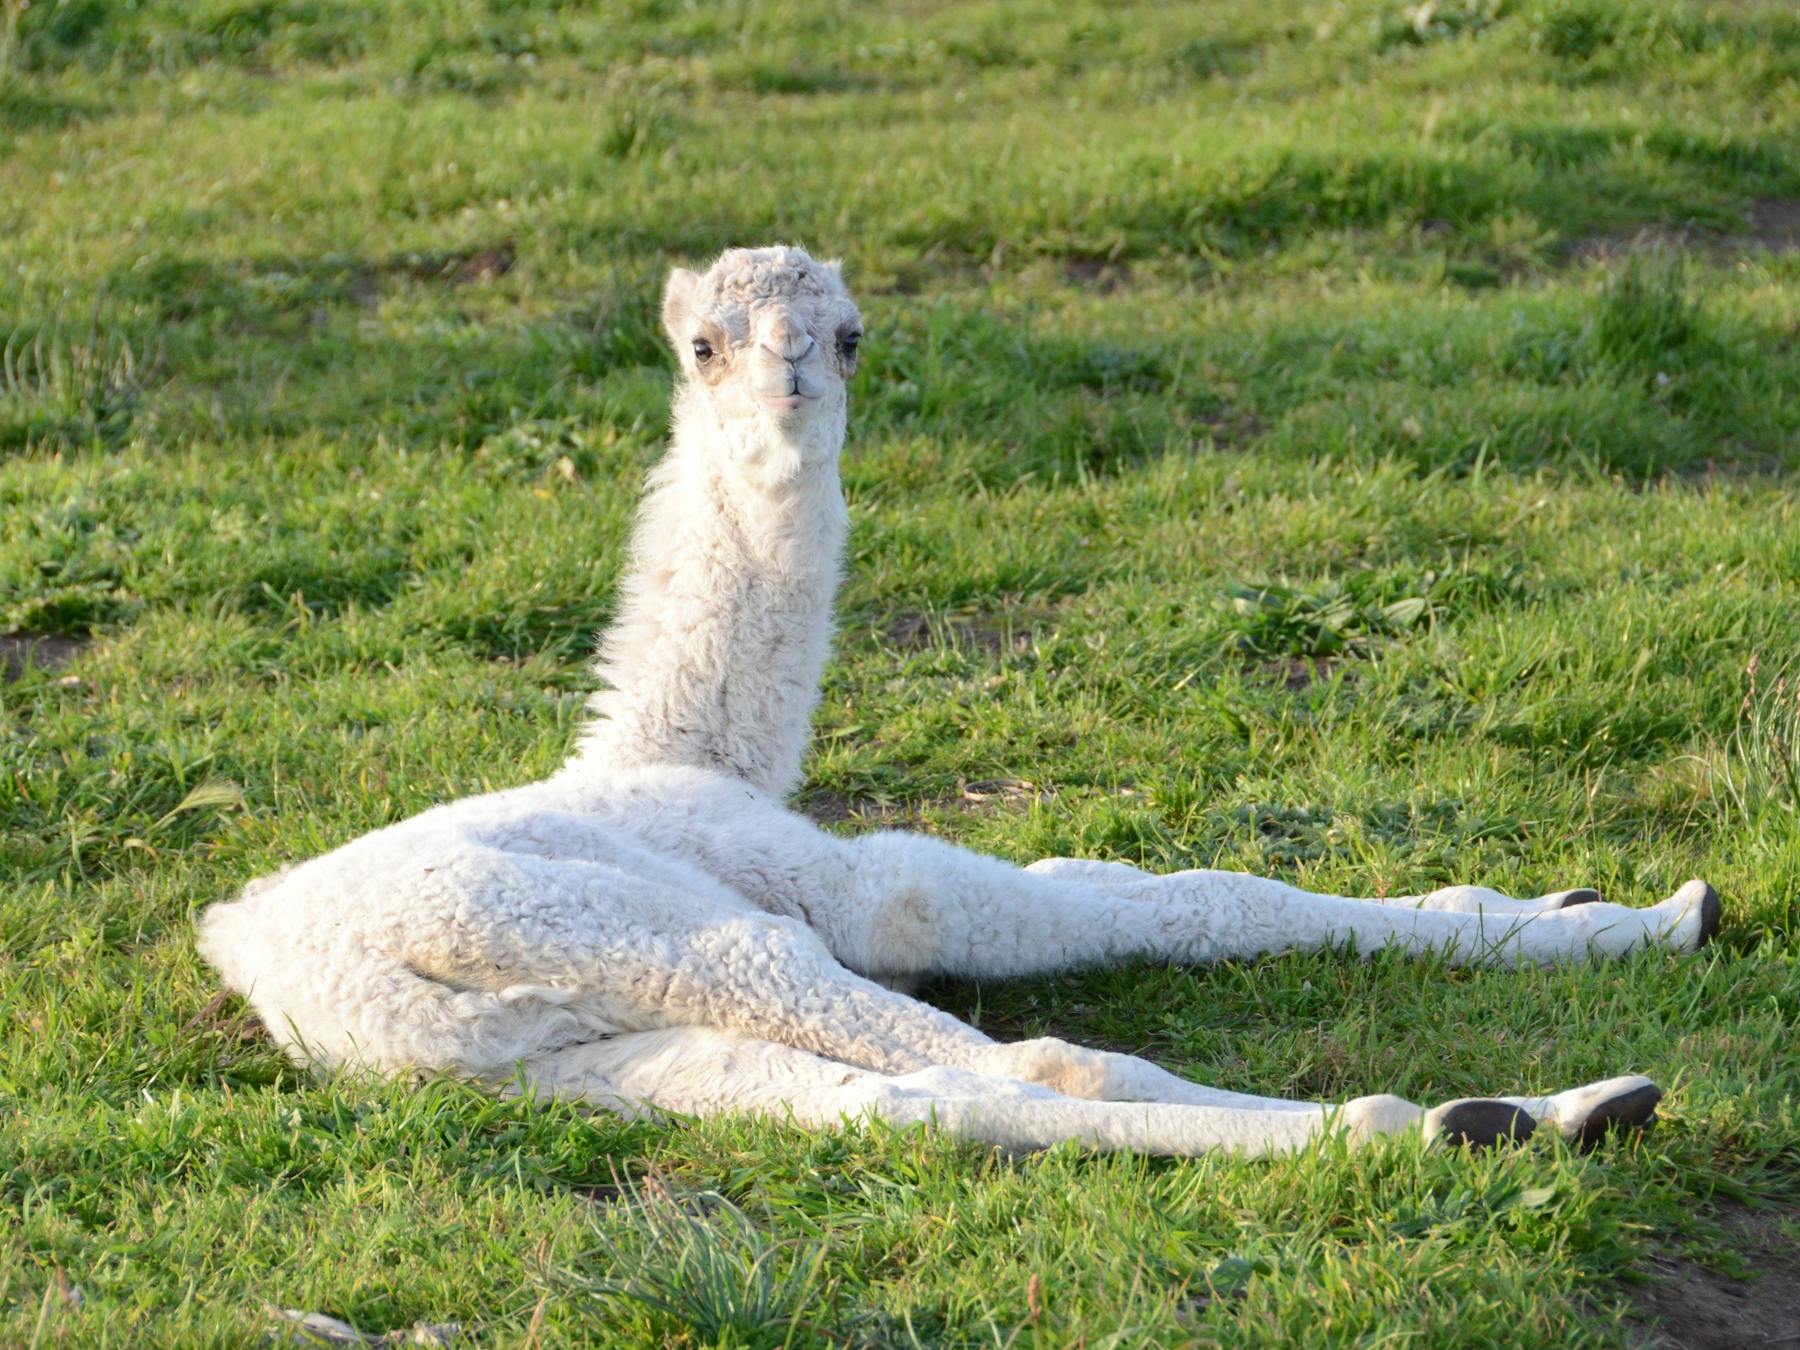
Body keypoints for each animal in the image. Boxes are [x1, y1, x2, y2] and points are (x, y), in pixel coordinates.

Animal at [199, 245, 1719, 1156]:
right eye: (705, 344)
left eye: (848, 336)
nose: (785, 386)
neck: (691, 746)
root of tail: (326, 979)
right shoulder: (824, 871)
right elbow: (1165, 895)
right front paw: (1644, 916)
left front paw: (1588, 905)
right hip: (665, 936)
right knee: (1038, 1056)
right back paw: (1519, 1112)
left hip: (568, 1056)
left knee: (917, 1103)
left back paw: (1503, 1117)